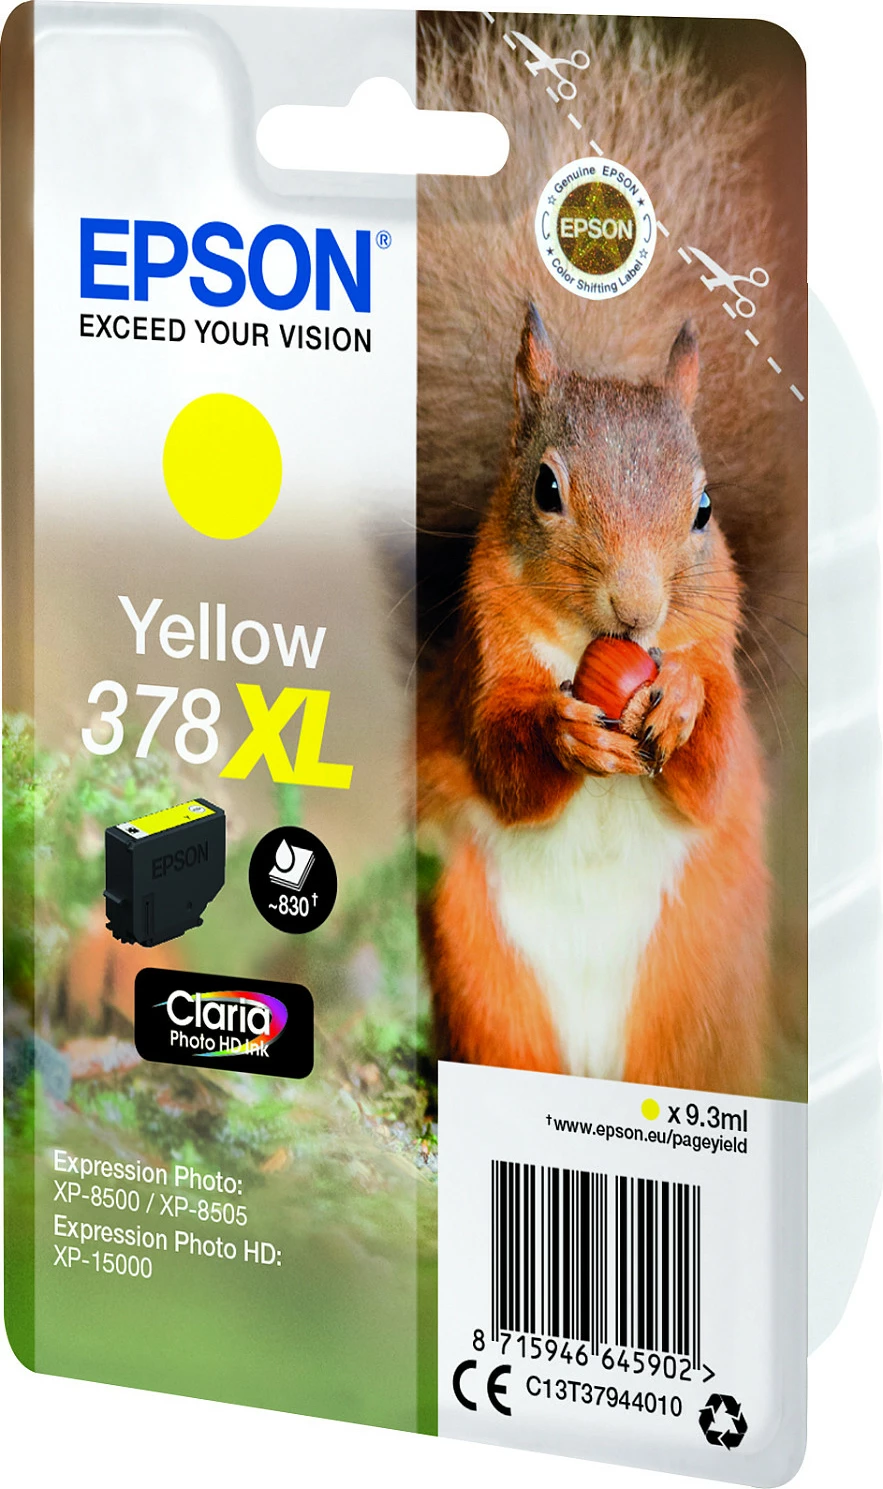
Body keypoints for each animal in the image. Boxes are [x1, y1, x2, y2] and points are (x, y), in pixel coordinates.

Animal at [414, 15, 806, 1095]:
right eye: (545, 489)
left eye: (704, 509)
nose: (636, 613)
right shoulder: (482, 658)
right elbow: (500, 757)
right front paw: (562, 734)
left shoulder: (716, 650)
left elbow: (711, 765)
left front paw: (679, 703)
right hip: (483, 972)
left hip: (692, 993)